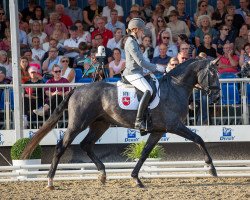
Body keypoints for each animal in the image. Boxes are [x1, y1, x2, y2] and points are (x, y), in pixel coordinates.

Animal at [21, 57, 221, 189]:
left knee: (86, 145)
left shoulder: (158, 130)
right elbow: (198, 139)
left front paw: (136, 178)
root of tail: (77, 89)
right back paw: (50, 181)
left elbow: (145, 153)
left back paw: (102, 175)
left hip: (100, 124)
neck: (175, 87)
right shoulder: (175, 125)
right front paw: (211, 169)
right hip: (78, 124)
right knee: (61, 146)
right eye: (212, 74)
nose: (217, 97)